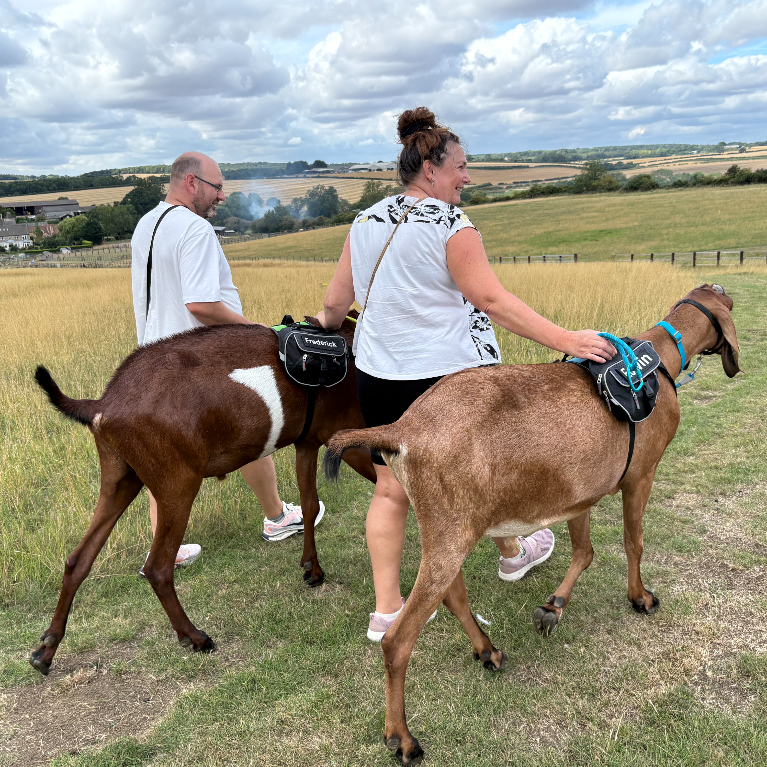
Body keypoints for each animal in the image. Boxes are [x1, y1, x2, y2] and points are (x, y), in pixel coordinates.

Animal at [30, 313, 375, 676]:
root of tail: (104, 403)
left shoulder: (306, 443)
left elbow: (309, 505)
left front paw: (313, 569)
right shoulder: (347, 438)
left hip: (119, 480)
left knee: (77, 560)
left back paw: (46, 650)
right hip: (177, 485)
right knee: (157, 568)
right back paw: (194, 637)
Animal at [323, 285, 740, 765]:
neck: (660, 361)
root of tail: (403, 430)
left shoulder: (581, 492)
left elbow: (584, 551)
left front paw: (553, 607)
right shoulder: (641, 475)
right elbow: (633, 541)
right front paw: (641, 598)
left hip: (447, 528)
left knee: (454, 596)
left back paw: (487, 651)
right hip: (450, 531)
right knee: (397, 641)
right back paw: (402, 738)